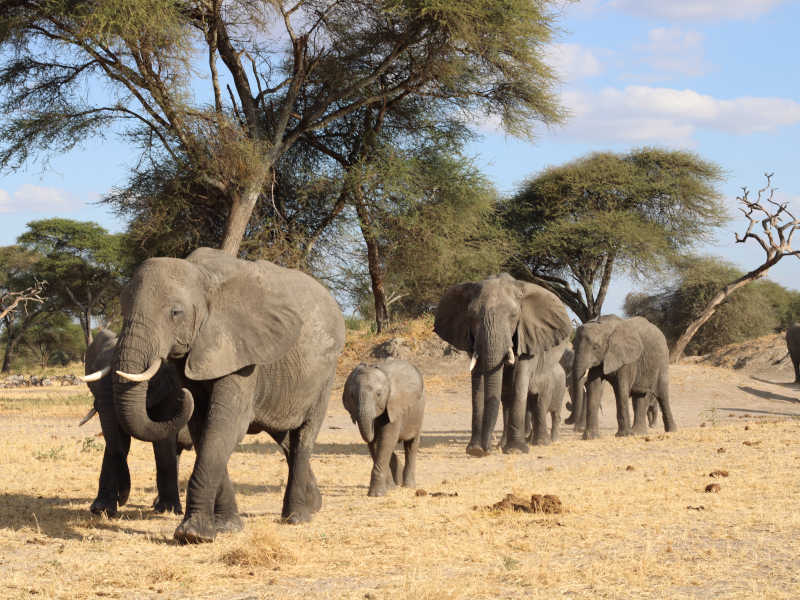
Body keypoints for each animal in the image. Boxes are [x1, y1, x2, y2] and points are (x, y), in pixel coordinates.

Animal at [78, 328, 194, 516]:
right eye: (92, 370)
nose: (122, 499)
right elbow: (118, 441)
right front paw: (100, 510)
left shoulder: (170, 389)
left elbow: (162, 442)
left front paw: (167, 510)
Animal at [108, 247, 342, 544]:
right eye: (123, 308)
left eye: (175, 312)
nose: (182, 397)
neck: (202, 276)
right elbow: (202, 426)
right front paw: (227, 527)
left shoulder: (242, 353)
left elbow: (225, 424)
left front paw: (193, 534)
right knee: (285, 438)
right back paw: (315, 505)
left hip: (325, 374)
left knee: (304, 437)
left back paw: (297, 517)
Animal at [342, 360, 424, 496]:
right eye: (352, 395)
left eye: (378, 394)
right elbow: (377, 444)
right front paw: (389, 488)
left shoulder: (394, 407)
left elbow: (386, 439)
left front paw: (377, 495)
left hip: (418, 413)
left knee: (411, 445)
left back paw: (409, 486)